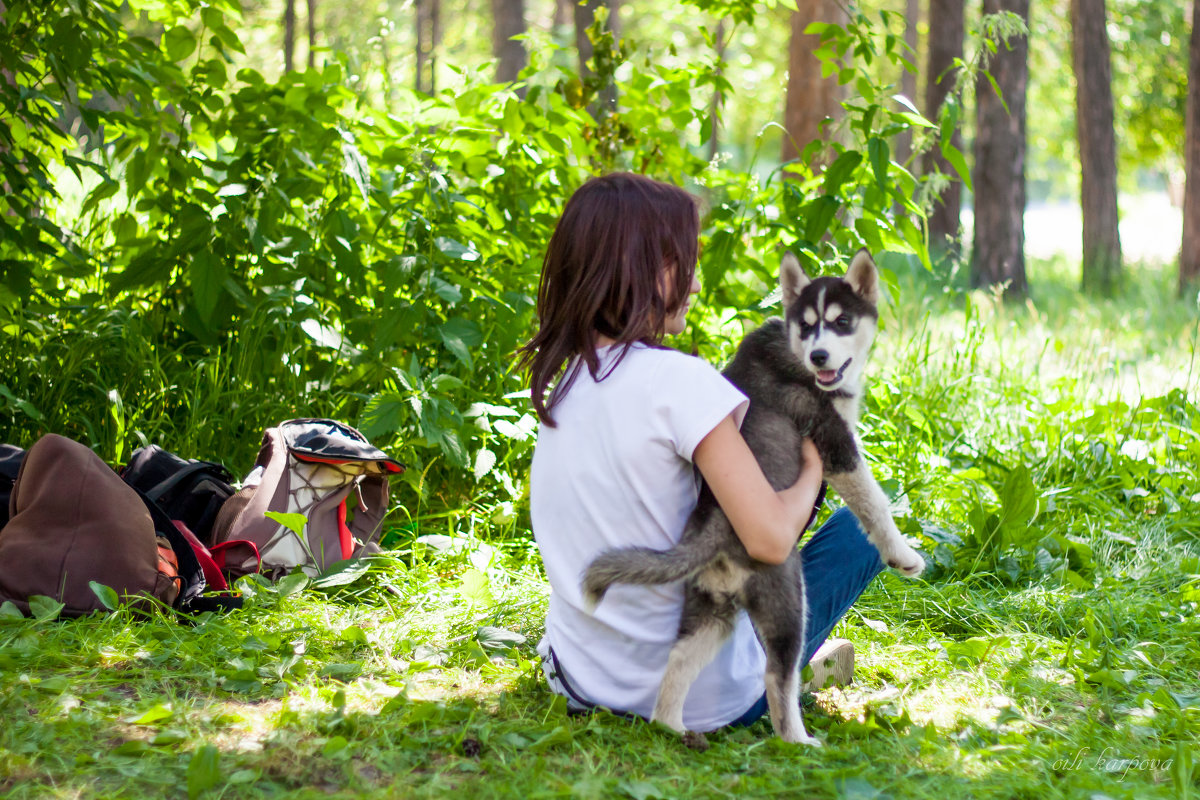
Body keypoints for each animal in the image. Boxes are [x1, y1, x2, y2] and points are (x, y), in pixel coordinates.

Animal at [585, 251, 921, 753]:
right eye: (807, 327)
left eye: (841, 321)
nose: (819, 356)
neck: (796, 352)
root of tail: (711, 531)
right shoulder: (835, 447)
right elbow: (873, 502)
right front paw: (902, 554)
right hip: (788, 603)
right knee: (777, 677)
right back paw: (798, 741)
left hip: (712, 612)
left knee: (679, 661)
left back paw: (672, 728)